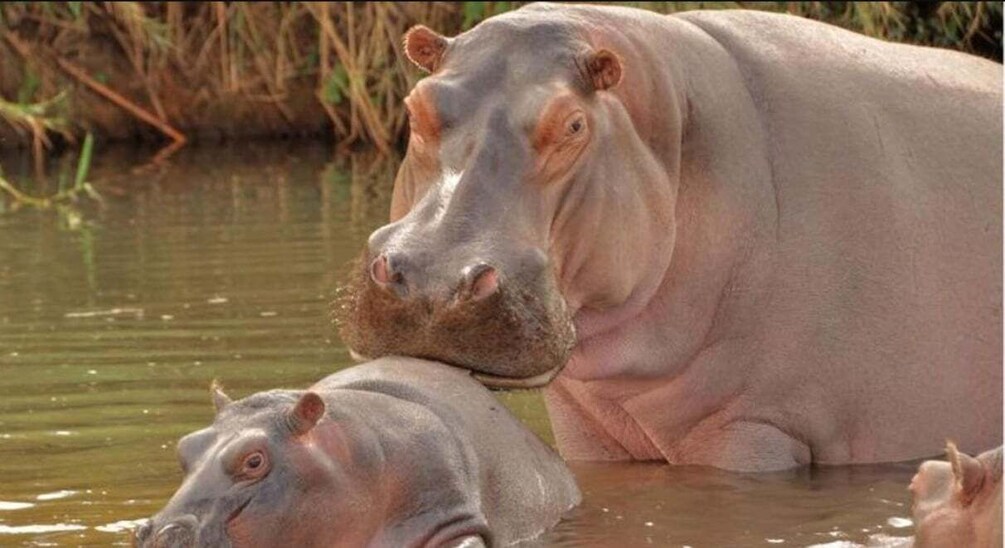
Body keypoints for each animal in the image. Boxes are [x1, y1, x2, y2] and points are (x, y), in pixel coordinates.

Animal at [336, 3, 1003, 472]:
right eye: (415, 106)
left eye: (573, 125)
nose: (433, 281)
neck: (676, 136)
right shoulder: (590, 432)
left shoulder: (757, 429)